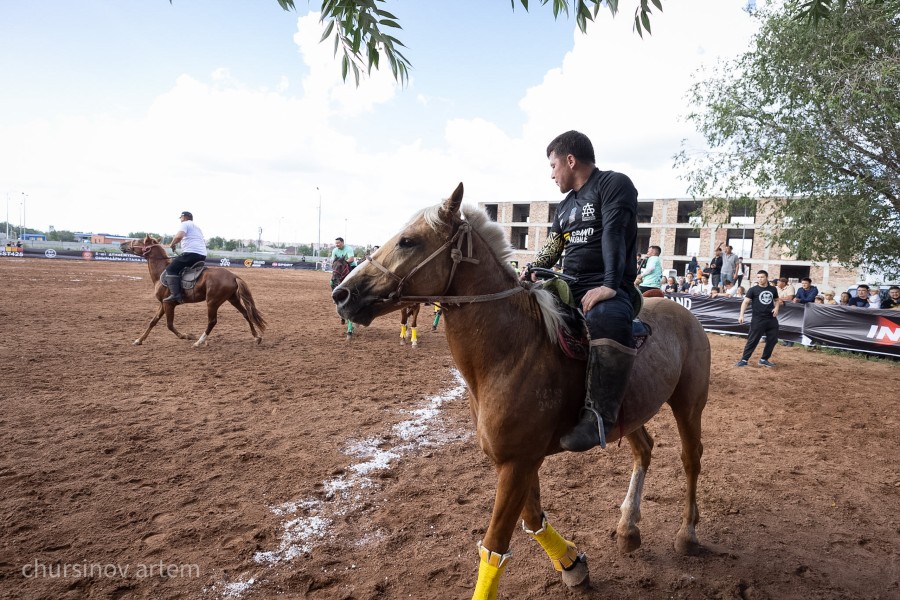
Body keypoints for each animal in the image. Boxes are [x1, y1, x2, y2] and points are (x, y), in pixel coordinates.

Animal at [121, 236, 266, 346]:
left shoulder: (169, 304)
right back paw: (256, 337)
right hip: (233, 299)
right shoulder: (163, 303)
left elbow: (169, 325)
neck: (161, 271)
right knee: (246, 314)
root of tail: (233, 276)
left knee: (212, 321)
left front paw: (187, 336)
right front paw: (139, 340)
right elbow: (153, 321)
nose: (122, 244)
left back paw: (199, 341)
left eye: (138, 240)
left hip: (212, 302)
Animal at [330, 185, 712, 596]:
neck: (510, 352)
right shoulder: (518, 460)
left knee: (691, 459)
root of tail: (683, 312)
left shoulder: (518, 462)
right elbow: (532, 519)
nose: (342, 294)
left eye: (408, 241)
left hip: (689, 404)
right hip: (628, 414)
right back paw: (628, 529)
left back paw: (688, 533)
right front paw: (573, 565)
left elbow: (495, 545)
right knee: (644, 451)